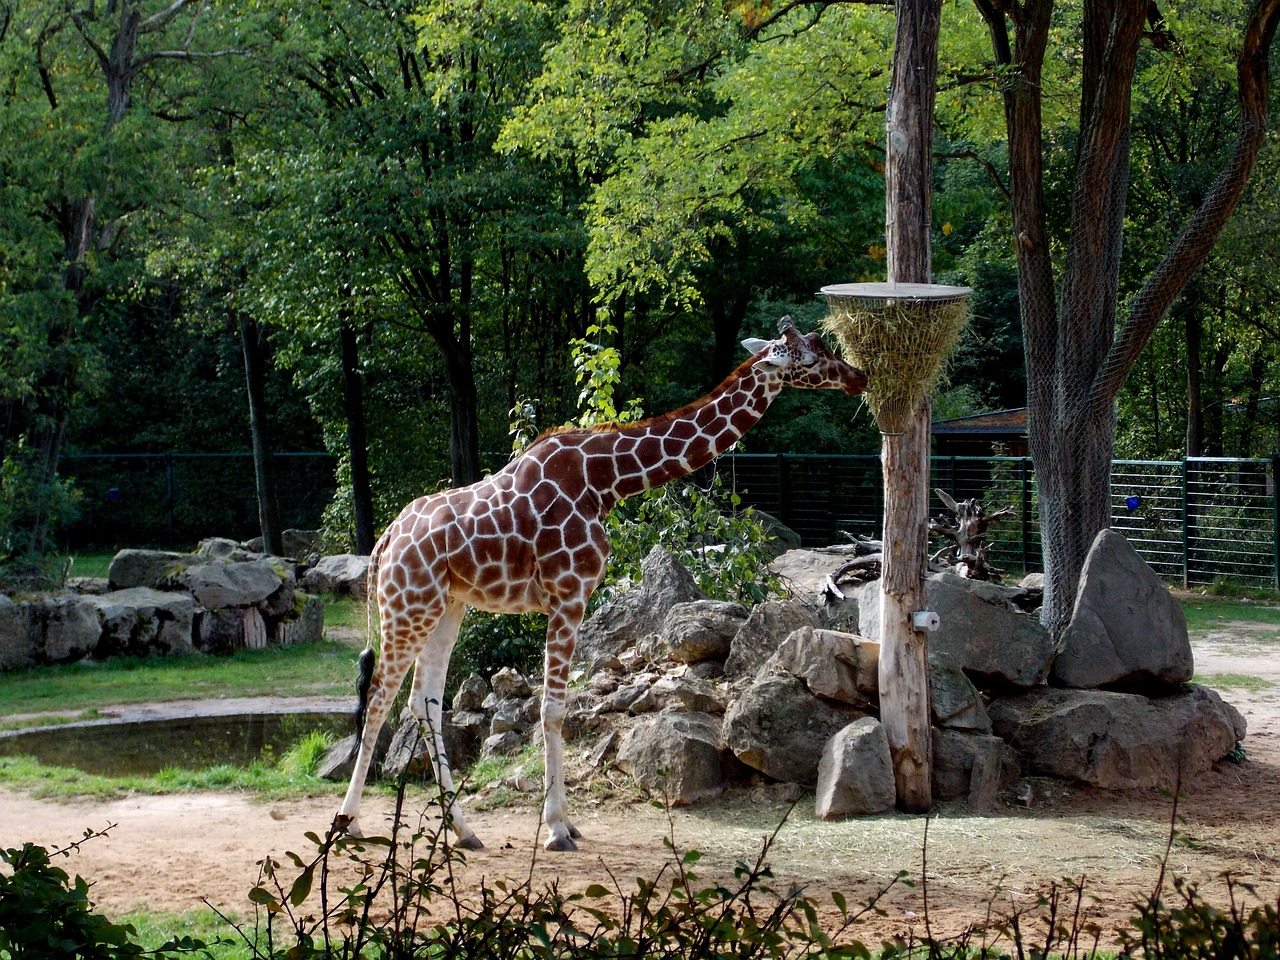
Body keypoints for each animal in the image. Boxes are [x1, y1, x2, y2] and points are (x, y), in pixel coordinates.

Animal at [335, 316, 865, 849]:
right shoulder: (569, 595)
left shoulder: (563, 598)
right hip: (408, 606)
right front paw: (555, 829)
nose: (858, 377)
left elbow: (552, 708)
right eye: (810, 357)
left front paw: (565, 822)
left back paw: (462, 830)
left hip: (446, 606)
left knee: (424, 701)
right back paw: (350, 822)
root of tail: (384, 543)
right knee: (379, 698)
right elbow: (552, 710)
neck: (606, 479)